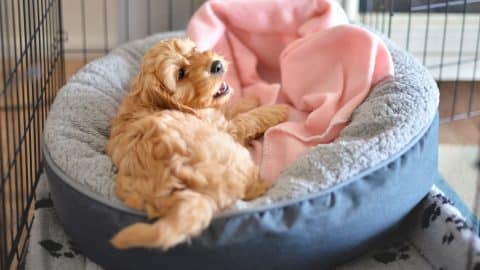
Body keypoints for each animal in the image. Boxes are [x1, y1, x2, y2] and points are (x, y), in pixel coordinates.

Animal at [107, 38, 288, 249]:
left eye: (194, 50)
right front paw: (277, 109)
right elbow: (248, 119)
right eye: (181, 74)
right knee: (250, 190)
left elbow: (229, 108)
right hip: (235, 157)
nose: (217, 65)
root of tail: (182, 189)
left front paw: (250, 100)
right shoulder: (226, 129)